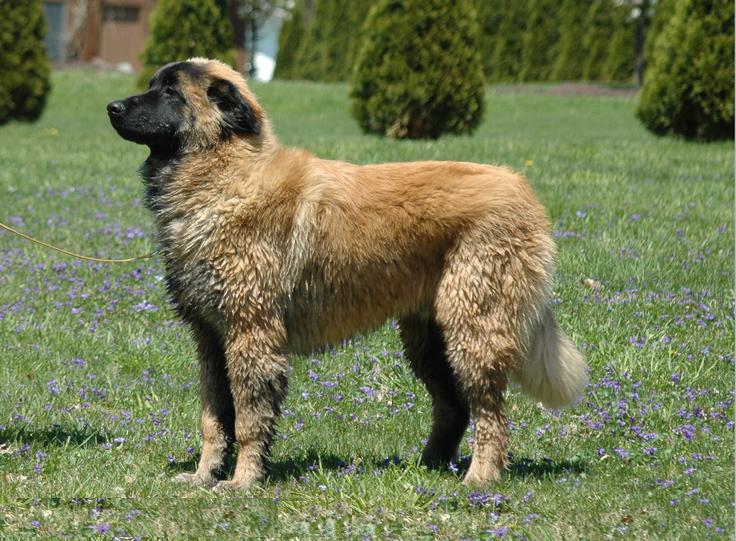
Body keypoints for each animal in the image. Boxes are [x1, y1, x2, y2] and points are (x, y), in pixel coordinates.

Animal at [106, 57, 588, 488]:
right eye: (153, 85)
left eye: (171, 92)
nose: (112, 107)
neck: (225, 176)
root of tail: (522, 189)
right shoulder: (210, 338)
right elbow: (213, 417)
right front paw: (203, 476)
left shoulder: (251, 334)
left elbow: (247, 419)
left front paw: (241, 481)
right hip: (429, 340)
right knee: (455, 408)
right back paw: (427, 467)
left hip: (474, 327)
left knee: (491, 415)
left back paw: (480, 478)